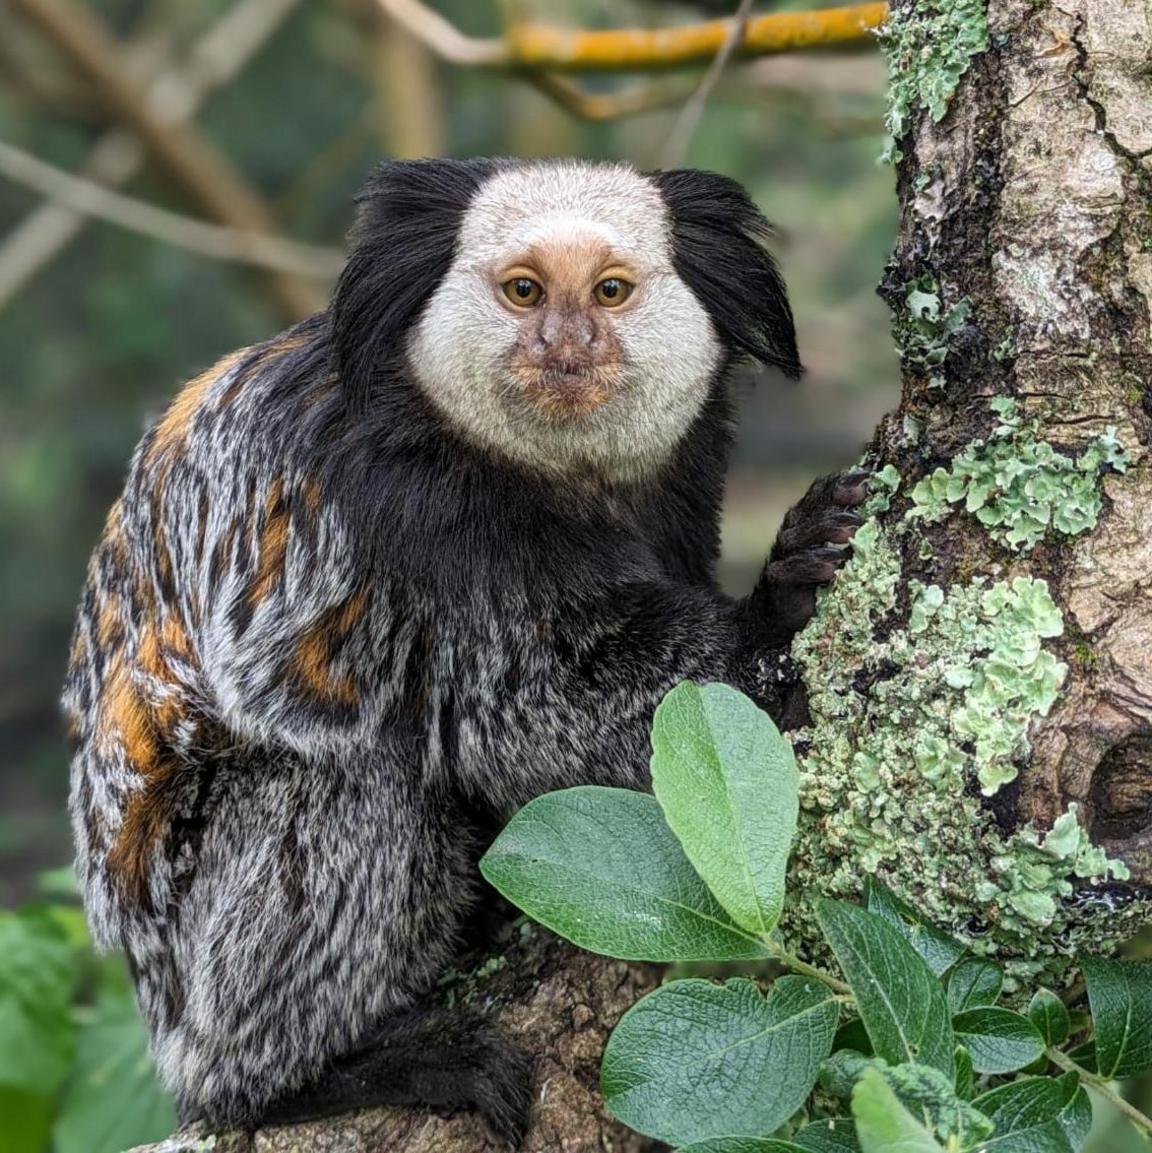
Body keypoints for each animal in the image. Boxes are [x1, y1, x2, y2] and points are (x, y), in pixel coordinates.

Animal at [63, 160, 867, 1143]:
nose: (566, 342)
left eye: (609, 291)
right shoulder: (402, 507)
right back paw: (305, 1077)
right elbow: (526, 710)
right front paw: (772, 612)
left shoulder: (688, 471)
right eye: (524, 291)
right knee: (347, 777)